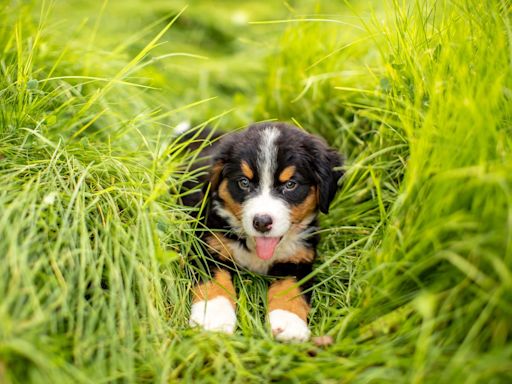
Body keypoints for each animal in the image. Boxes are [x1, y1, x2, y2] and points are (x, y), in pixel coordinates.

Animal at [184, 122, 344, 342]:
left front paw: (289, 324)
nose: (261, 222)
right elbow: (214, 283)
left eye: (290, 184)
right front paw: (213, 318)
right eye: (243, 182)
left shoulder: (298, 260)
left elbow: (289, 290)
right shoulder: (206, 246)